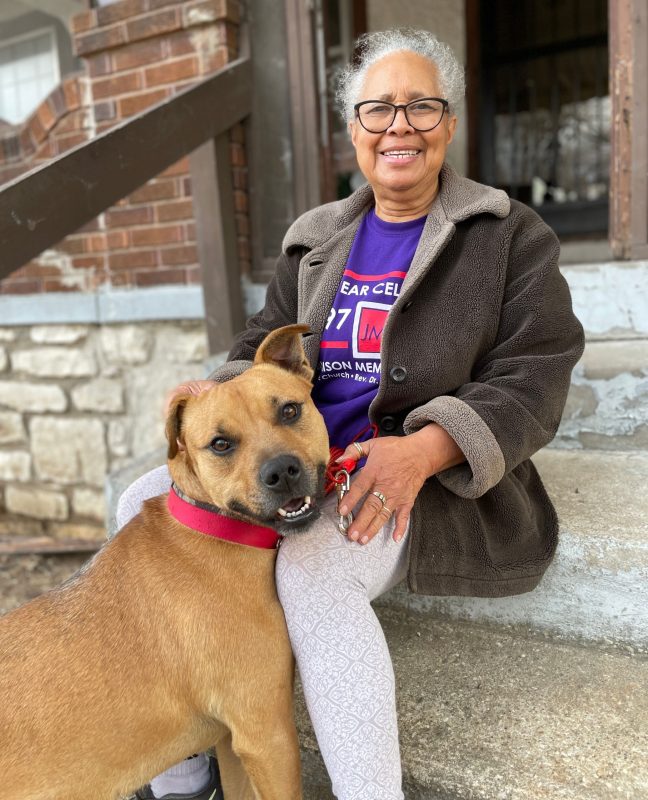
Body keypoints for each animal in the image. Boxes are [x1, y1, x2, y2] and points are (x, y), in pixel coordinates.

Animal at [1, 324, 330, 800]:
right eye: (220, 444)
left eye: (290, 410)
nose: (282, 471)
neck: (212, 531)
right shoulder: (267, 735)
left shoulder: (232, 741)